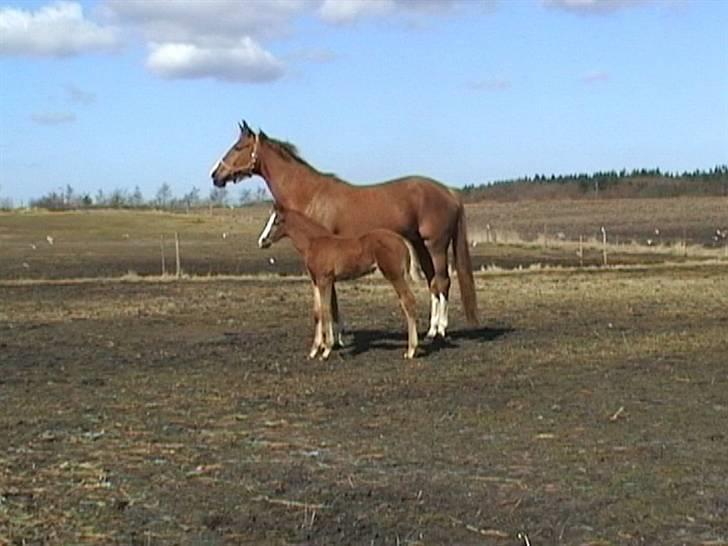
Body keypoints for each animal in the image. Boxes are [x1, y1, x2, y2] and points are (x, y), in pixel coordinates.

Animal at [258, 207, 418, 356]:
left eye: (277, 221)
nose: (262, 241)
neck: (315, 242)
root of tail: (402, 240)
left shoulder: (325, 280)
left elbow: (326, 310)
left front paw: (326, 350)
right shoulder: (315, 281)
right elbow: (317, 312)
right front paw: (314, 350)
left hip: (395, 276)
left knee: (408, 301)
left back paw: (411, 350)